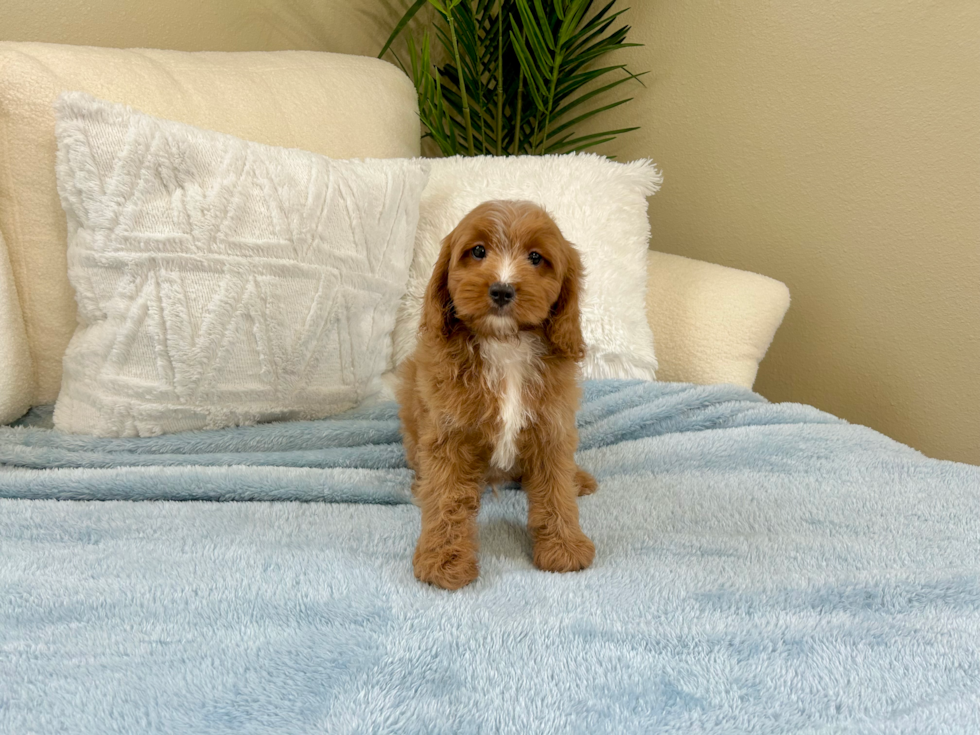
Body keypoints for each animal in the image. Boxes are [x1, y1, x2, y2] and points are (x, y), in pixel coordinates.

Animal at [396, 201, 596, 592]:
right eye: (477, 252)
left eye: (535, 257)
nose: (502, 290)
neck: (505, 344)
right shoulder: (449, 435)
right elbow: (447, 497)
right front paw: (443, 560)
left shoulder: (551, 427)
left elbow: (556, 491)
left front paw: (564, 547)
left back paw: (577, 477)